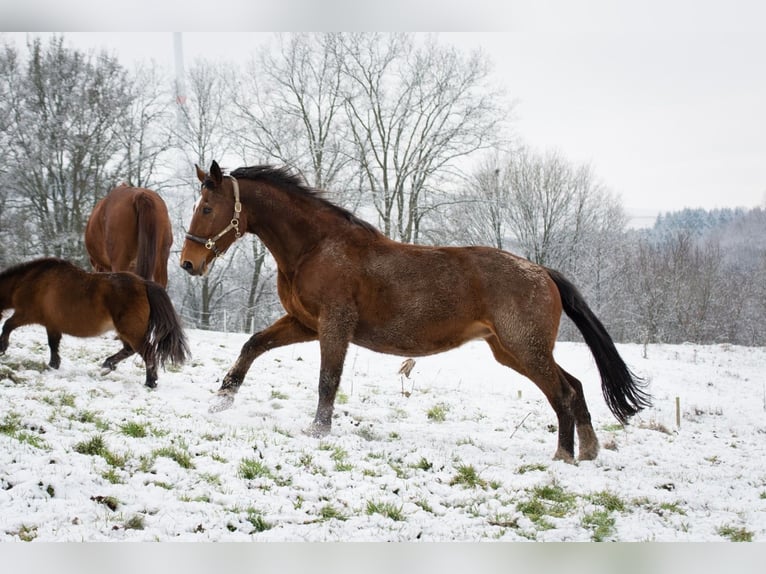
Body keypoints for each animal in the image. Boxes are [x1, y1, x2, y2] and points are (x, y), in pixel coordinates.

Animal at [0, 258, 190, 390]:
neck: (30, 280)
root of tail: (144, 283)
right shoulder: (52, 325)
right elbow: (53, 344)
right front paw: (53, 365)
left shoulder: (26, 314)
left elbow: (7, 325)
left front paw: (3, 347)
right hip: (125, 331)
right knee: (130, 349)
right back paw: (108, 365)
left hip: (131, 331)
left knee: (147, 353)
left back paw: (150, 382)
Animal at [182, 161, 656, 464]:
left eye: (206, 208)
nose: (188, 263)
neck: (316, 247)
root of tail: (543, 273)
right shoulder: (304, 322)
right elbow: (253, 344)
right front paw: (222, 397)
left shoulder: (334, 324)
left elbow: (327, 379)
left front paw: (317, 431)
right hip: (513, 352)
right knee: (574, 385)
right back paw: (589, 450)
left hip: (526, 348)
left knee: (563, 392)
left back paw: (564, 455)